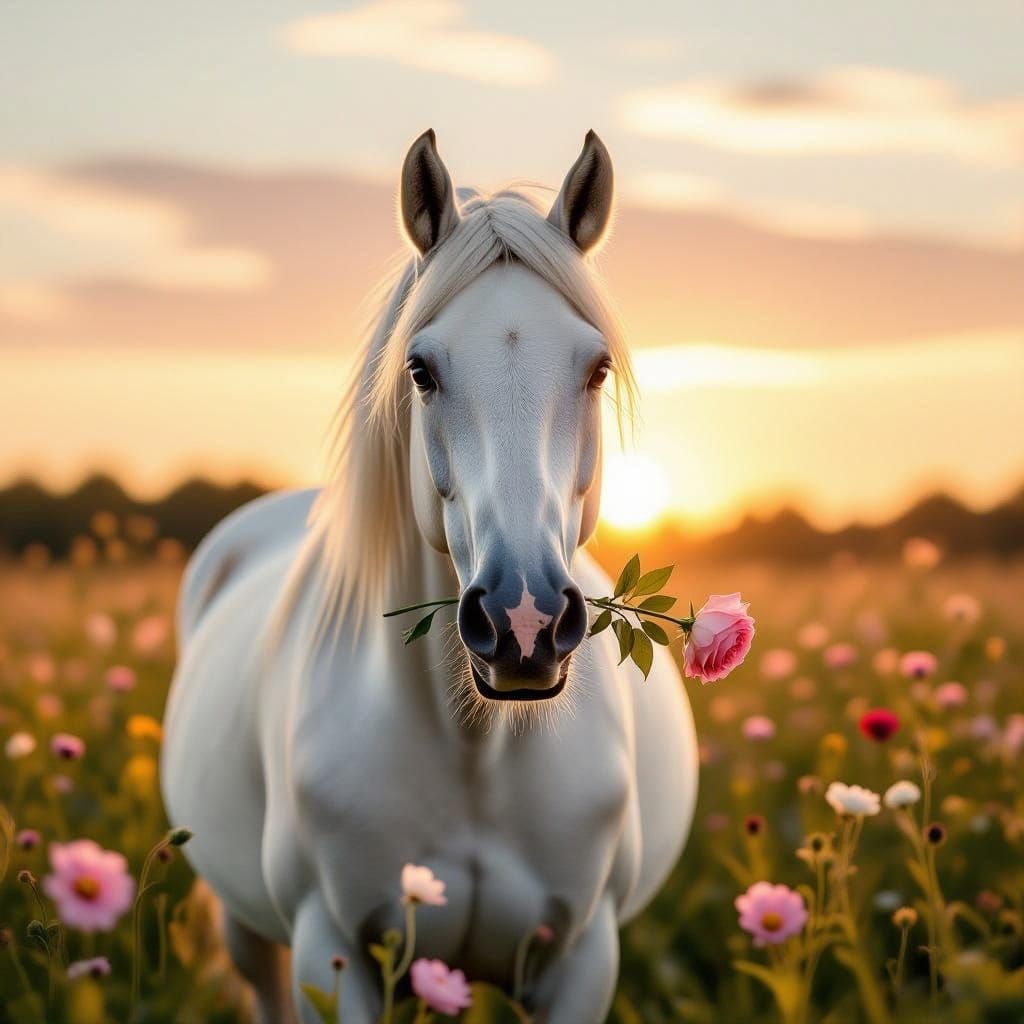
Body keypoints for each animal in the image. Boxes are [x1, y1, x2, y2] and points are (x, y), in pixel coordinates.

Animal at [161, 129, 698, 1023]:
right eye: (421, 370)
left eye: (595, 369)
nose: (524, 622)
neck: (477, 753)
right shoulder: (336, 952)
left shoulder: (581, 960)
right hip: (252, 932)